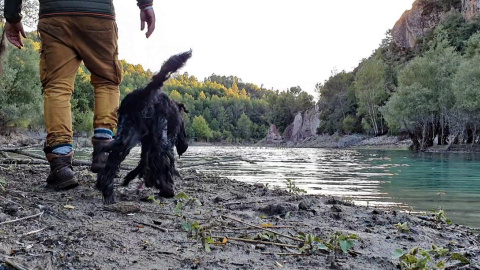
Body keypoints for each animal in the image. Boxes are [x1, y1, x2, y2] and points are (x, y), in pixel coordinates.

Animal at [95, 49, 191, 204]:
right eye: (183, 127)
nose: (185, 146)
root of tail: (141, 95)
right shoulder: (162, 140)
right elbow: (156, 165)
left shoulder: (146, 144)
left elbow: (143, 163)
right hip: (158, 140)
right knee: (163, 160)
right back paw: (167, 190)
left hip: (126, 135)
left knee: (112, 159)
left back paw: (107, 191)